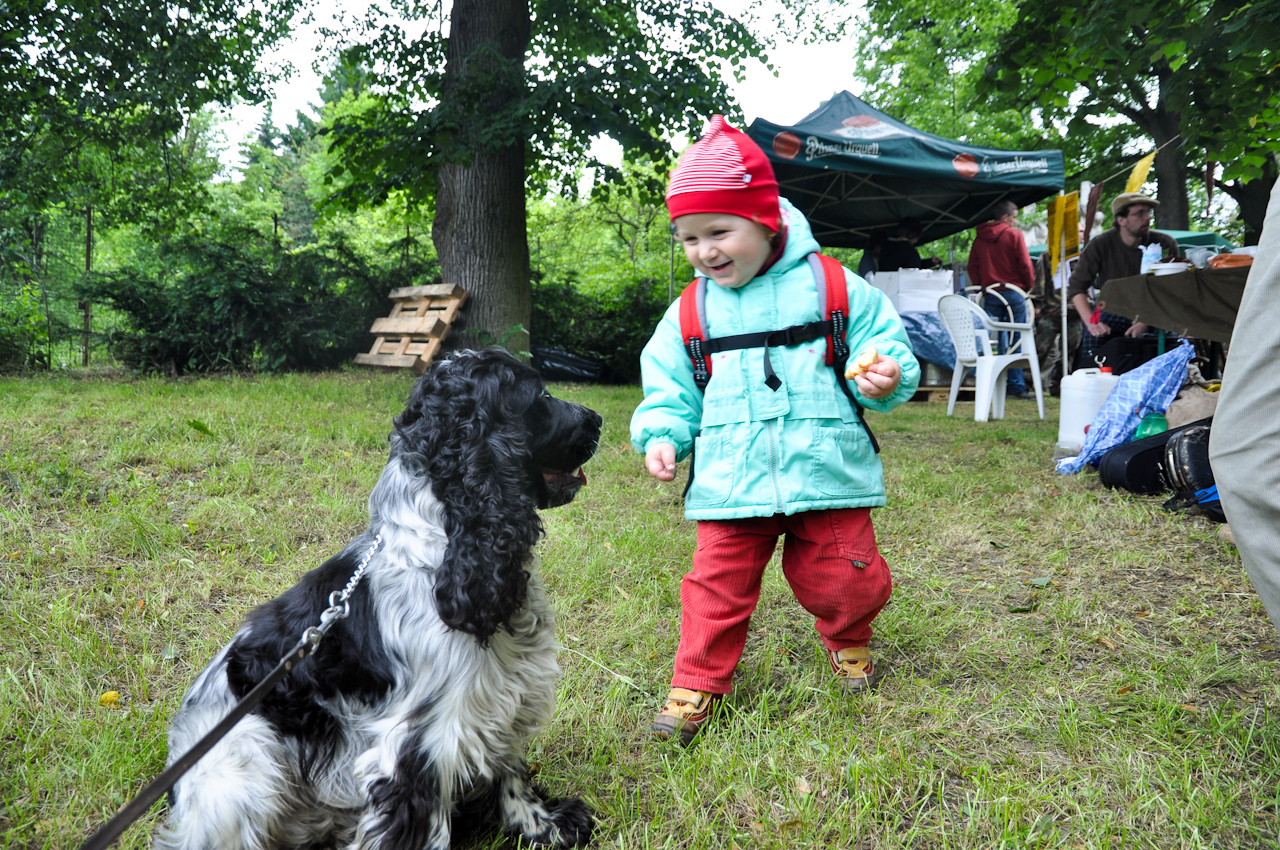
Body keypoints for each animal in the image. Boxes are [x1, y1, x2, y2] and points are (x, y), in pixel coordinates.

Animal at [156, 349, 602, 850]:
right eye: (540, 394)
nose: (598, 419)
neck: (441, 549)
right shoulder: (418, 743)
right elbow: (421, 827)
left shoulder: (502, 694)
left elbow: (512, 772)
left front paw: (546, 825)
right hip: (246, 767)